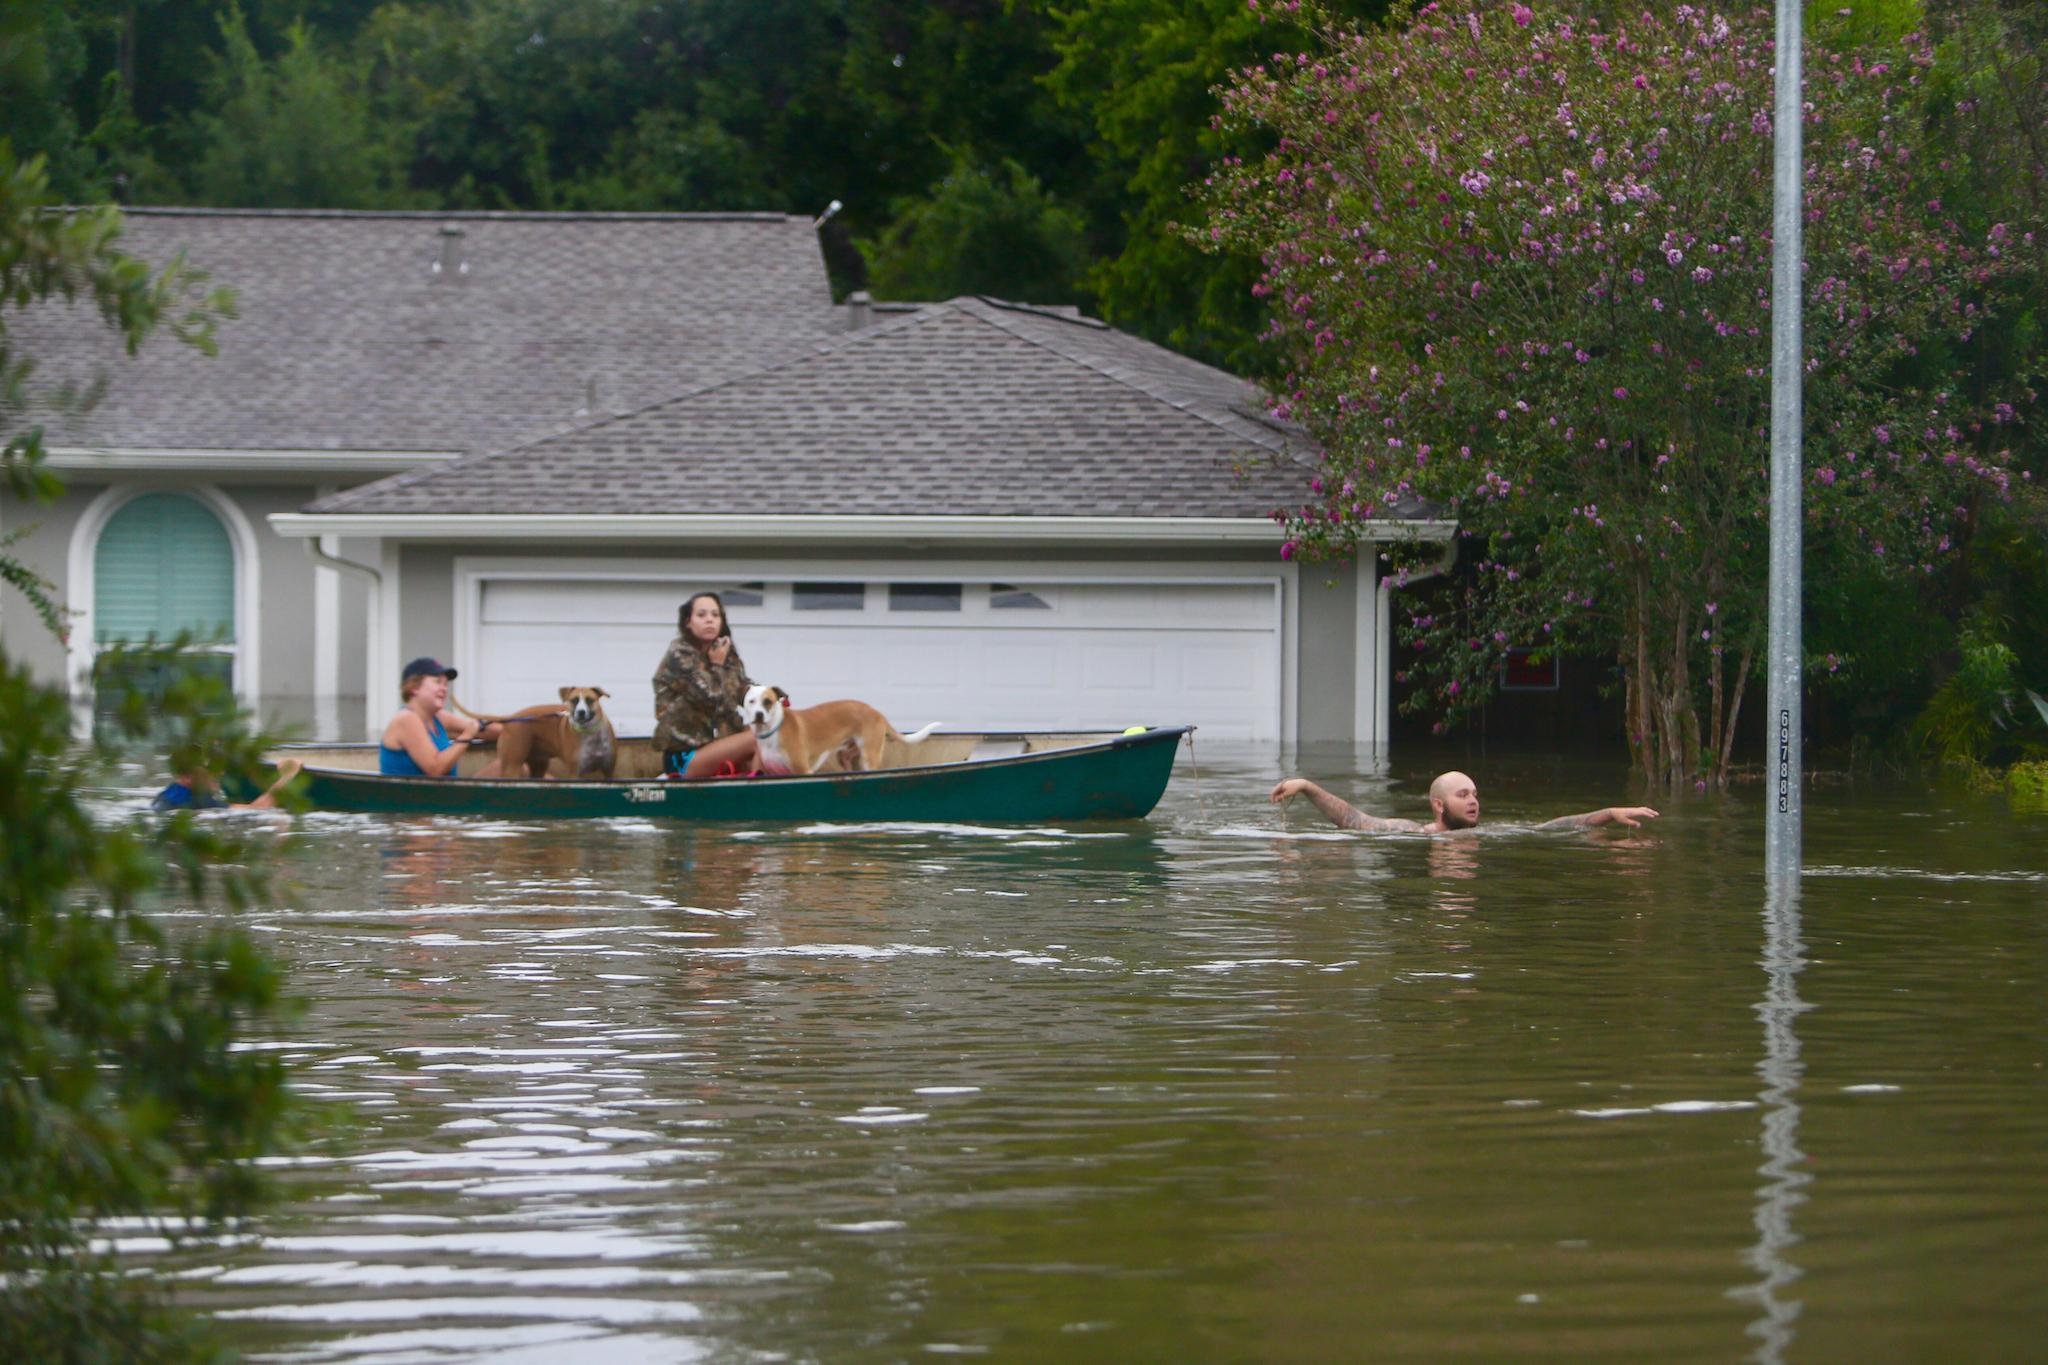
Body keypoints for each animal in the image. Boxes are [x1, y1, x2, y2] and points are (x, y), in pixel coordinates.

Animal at [471, 687, 614, 785]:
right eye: (573, 701)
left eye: (590, 700)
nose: (581, 712)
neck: (590, 733)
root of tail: (510, 718)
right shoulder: (575, 773)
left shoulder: (608, 770)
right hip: (512, 767)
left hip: (539, 766)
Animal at [741, 687, 937, 773]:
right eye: (751, 701)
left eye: (768, 701)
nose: (758, 715)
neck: (773, 730)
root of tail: (876, 712)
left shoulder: (802, 770)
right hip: (845, 756)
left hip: (869, 757)